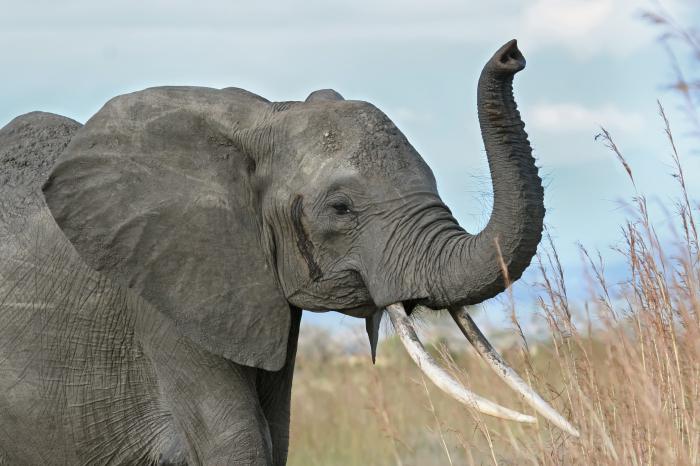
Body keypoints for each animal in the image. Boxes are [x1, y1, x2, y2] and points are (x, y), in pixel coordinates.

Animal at [0, 41, 576, 466]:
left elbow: (275, 435)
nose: (512, 54)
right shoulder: (163, 296)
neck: (260, 119)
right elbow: (238, 444)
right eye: (341, 208)